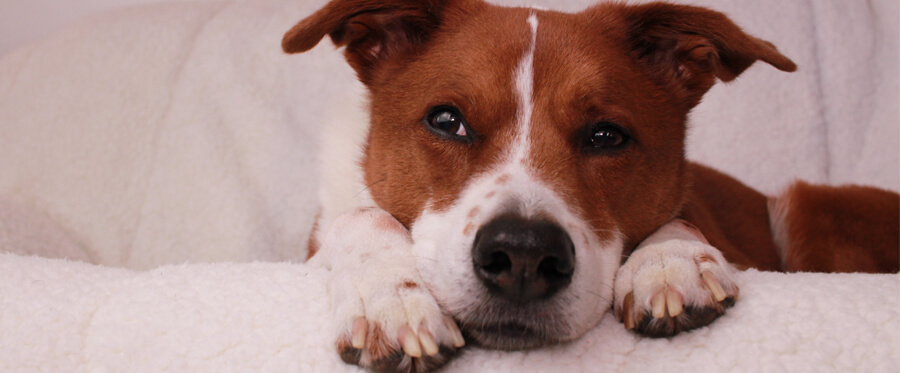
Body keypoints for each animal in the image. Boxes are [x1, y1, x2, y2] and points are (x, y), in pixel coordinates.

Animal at [280, 1, 892, 370]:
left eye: (606, 135)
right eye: (447, 121)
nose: (523, 255)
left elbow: (680, 219)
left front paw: (671, 256)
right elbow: (361, 215)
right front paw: (389, 295)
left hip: (809, 204)